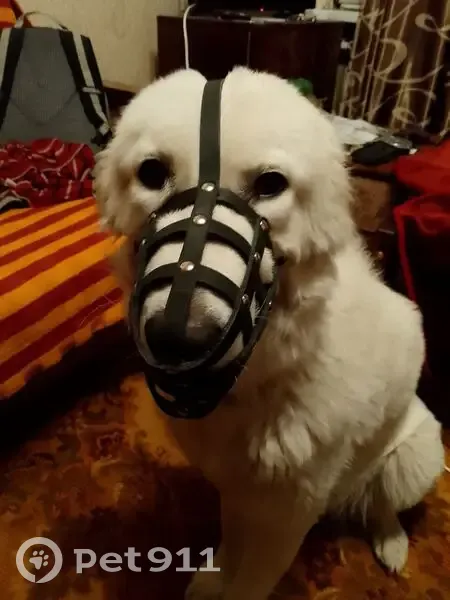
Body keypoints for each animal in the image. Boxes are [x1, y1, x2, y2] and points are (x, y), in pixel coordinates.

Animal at [94, 67, 445, 600]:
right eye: (152, 174)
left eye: (270, 184)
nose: (179, 336)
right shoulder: (238, 490)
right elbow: (232, 544)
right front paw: (214, 576)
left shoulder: (286, 516)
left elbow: (251, 581)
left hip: (414, 454)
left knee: (384, 504)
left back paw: (392, 542)